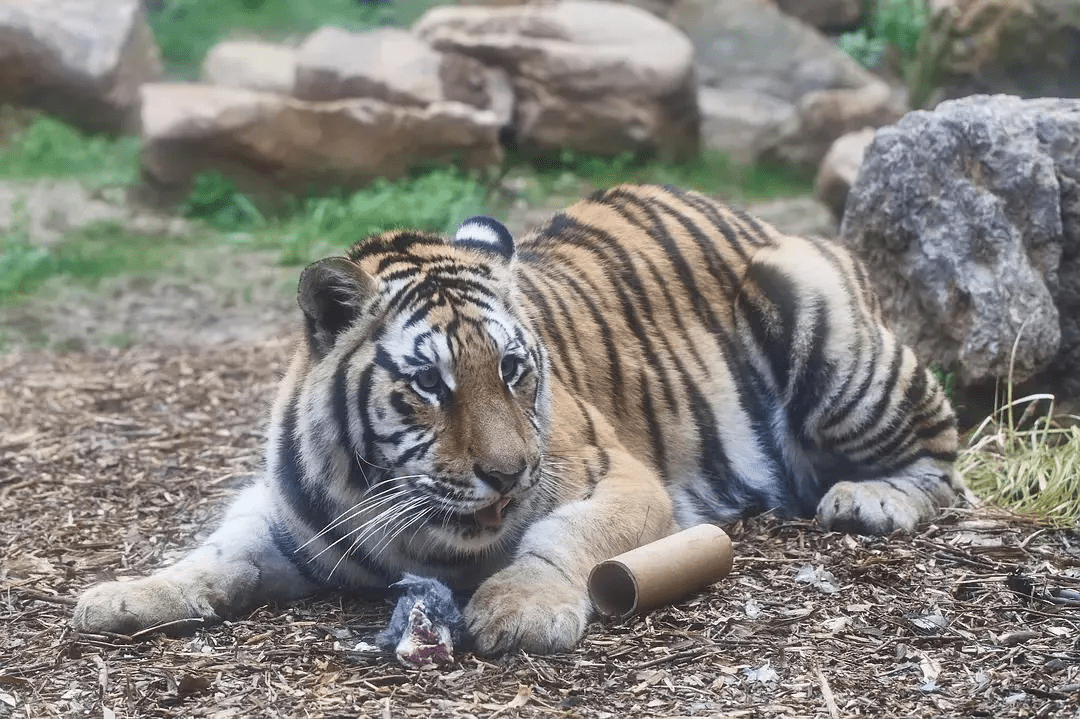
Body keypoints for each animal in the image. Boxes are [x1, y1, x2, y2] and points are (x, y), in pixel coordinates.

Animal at [71, 182, 959, 652]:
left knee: (947, 459)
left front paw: (519, 607)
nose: (506, 473)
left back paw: (872, 499)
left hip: (826, 327)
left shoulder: (626, 482)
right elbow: (214, 554)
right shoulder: (293, 519)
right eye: (428, 383)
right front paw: (123, 597)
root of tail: (753, 216)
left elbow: (564, 534)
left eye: (511, 368)